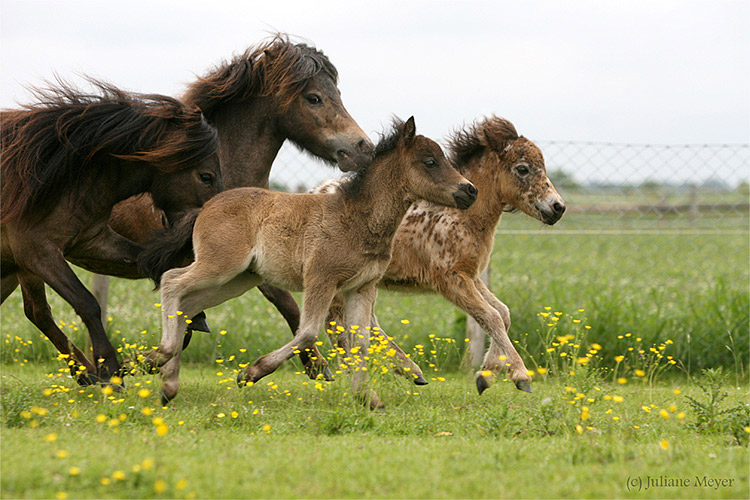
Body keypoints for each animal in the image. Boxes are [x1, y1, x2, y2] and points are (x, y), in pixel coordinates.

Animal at [0, 78, 222, 382]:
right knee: (38, 311)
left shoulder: (92, 241)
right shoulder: (37, 251)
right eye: (206, 176)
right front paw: (110, 368)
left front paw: (193, 316)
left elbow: (150, 262)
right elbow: (87, 303)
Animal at [140, 117, 476, 406]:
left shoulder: (362, 286)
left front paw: (367, 398)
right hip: (220, 264)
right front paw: (251, 373)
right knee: (172, 282)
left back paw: (167, 383)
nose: (469, 190)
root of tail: (206, 207)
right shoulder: (321, 277)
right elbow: (308, 332)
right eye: (430, 162)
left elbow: (361, 342)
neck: (358, 218)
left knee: (188, 305)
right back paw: (161, 356)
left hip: (239, 278)